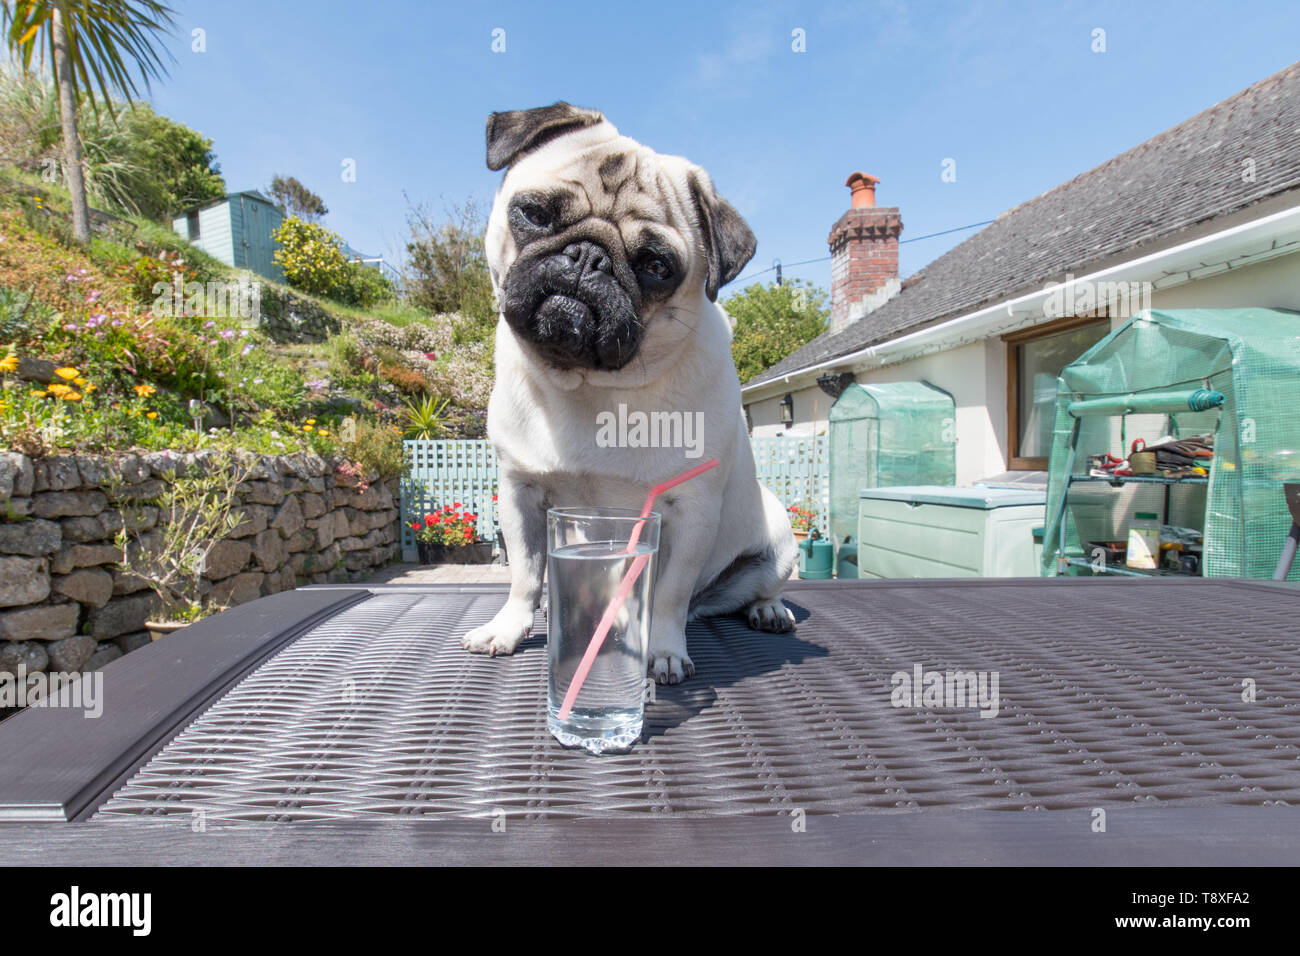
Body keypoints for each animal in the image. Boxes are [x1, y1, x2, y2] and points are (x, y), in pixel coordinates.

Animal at [462, 102, 795, 681]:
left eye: (656, 267)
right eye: (535, 214)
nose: (587, 257)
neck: (591, 384)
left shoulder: (691, 512)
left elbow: (669, 595)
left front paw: (662, 652)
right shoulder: (519, 493)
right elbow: (525, 572)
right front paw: (508, 628)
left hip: (781, 541)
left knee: (748, 589)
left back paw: (769, 609)